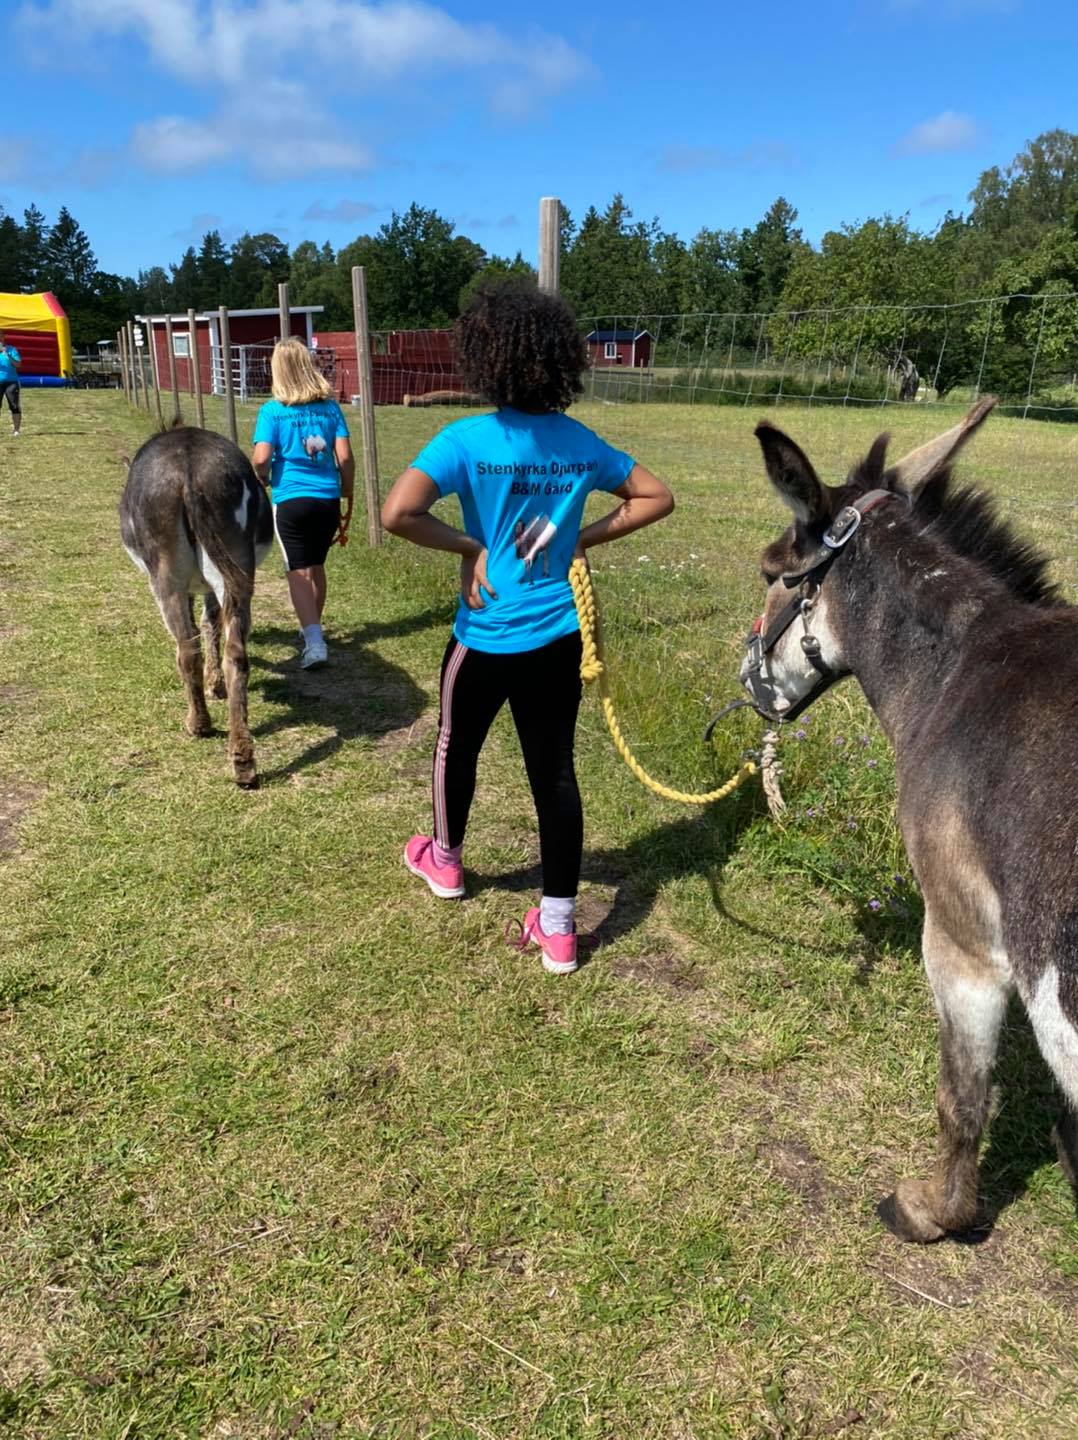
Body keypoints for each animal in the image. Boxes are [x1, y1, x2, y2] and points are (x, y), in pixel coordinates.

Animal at [120, 425, 273, 787]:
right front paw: (216, 685)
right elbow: (211, 623)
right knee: (236, 654)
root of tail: (189, 468)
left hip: (166, 575)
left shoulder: (188, 586)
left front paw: (210, 687)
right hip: (236, 561)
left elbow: (200, 627)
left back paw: (199, 725)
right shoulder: (210, 585)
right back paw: (243, 760)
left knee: (187, 651)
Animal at [740, 398, 1078, 1241]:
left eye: (770, 572)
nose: (747, 681)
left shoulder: (961, 938)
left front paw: (934, 1212)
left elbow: (961, 1097)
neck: (964, 665)